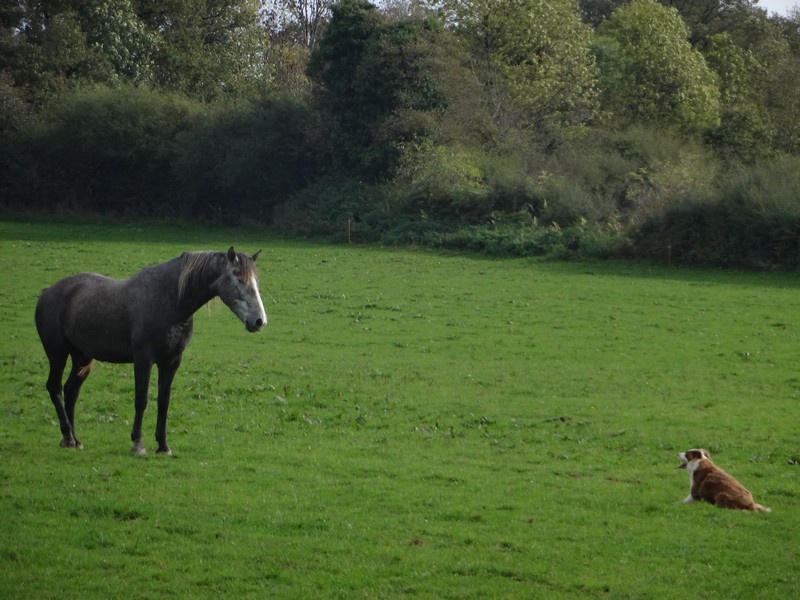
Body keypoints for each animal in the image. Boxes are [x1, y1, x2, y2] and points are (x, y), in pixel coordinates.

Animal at [34, 247, 268, 454]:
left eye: (256, 282)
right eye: (238, 278)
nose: (259, 321)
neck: (170, 301)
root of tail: (47, 293)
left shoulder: (172, 361)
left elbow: (163, 402)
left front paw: (163, 445)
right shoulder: (143, 360)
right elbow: (141, 400)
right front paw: (137, 443)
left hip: (82, 357)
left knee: (71, 391)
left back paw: (73, 440)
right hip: (57, 354)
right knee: (55, 388)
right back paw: (68, 436)